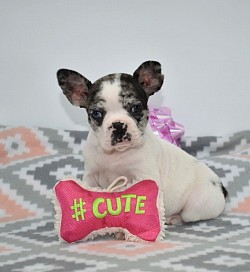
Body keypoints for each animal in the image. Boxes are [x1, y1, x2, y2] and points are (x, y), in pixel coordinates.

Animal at [57, 60, 229, 224]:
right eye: (96, 113)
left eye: (136, 108)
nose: (118, 125)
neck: (116, 154)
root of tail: (220, 187)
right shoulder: (91, 177)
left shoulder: (143, 177)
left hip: (196, 207)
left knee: (188, 215)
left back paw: (175, 218)